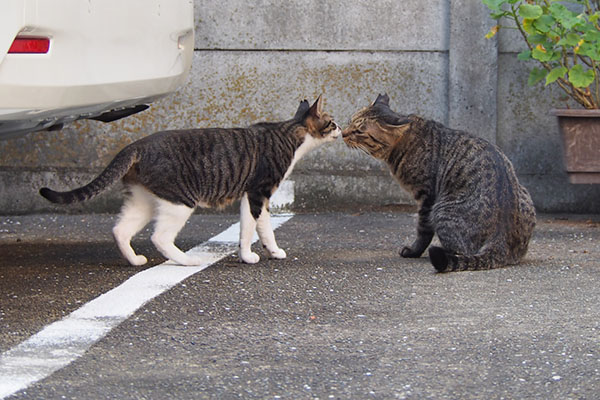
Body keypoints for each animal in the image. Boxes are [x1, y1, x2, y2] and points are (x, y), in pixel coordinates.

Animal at [41, 96, 342, 266]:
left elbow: (257, 228)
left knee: (120, 230)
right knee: (160, 237)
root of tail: (136, 145)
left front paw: (266, 252)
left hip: (143, 199)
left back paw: (135, 260)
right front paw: (253, 256)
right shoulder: (259, 192)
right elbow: (254, 229)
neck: (290, 134)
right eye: (331, 121)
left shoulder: (253, 196)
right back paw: (188, 260)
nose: (341, 128)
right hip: (180, 200)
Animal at [344, 94, 536, 272]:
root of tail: (501, 239)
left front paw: (413, 251)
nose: (344, 133)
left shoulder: (426, 196)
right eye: (350, 121)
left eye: (359, 131)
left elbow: (423, 231)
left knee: (460, 251)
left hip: (442, 210)